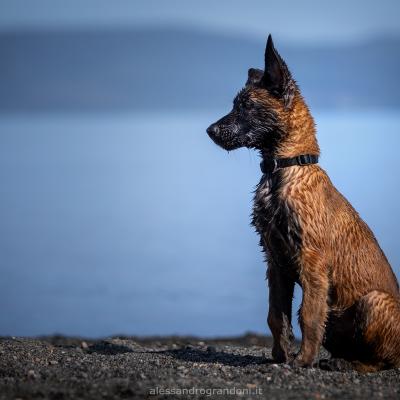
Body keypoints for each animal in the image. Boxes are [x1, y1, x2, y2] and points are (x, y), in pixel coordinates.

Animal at [206, 34, 400, 372]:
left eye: (247, 106)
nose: (210, 131)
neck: (285, 169)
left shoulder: (312, 261)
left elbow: (308, 315)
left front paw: (303, 360)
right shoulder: (274, 260)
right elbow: (277, 315)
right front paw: (279, 356)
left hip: (374, 302)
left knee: (384, 360)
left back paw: (347, 365)